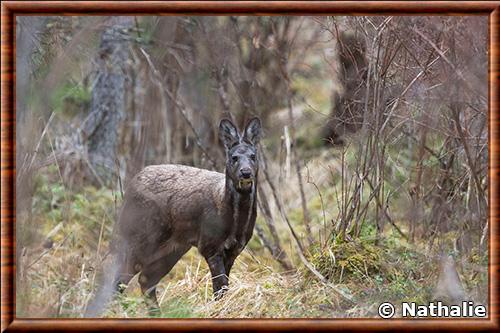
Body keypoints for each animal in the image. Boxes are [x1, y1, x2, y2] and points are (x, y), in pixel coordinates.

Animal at [87, 118, 262, 316]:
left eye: (253, 156)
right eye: (234, 157)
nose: (246, 172)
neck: (234, 221)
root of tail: (129, 188)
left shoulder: (234, 249)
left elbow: (224, 285)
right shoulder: (209, 244)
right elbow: (220, 285)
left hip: (173, 248)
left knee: (145, 279)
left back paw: (155, 313)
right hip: (139, 236)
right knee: (121, 278)